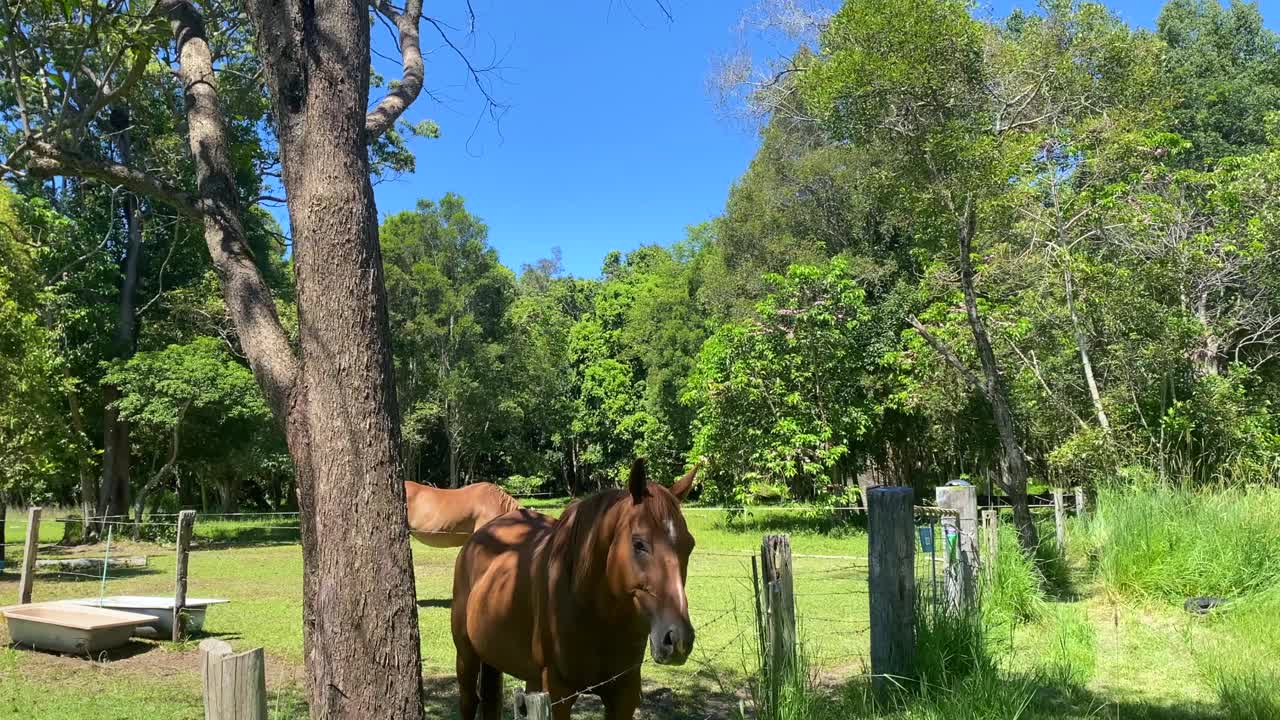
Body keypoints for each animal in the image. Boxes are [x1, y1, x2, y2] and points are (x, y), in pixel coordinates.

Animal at [448, 456, 701, 712]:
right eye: (639, 543)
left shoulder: (624, 693)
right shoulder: (557, 692)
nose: (678, 639)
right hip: (467, 657)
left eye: (690, 545)